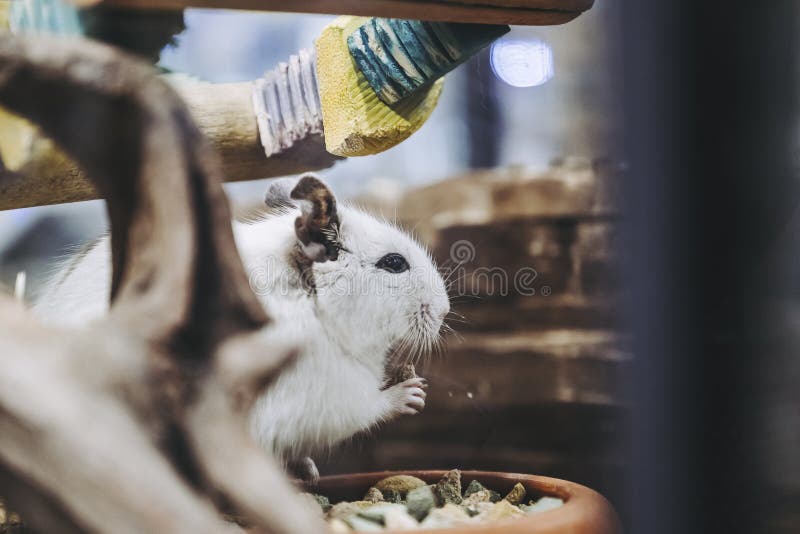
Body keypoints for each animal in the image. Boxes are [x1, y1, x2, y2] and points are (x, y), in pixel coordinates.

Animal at [32, 174, 450, 482]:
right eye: (394, 263)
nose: (445, 311)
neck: (314, 306)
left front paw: (310, 471)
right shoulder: (324, 396)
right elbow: (368, 408)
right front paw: (412, 395)